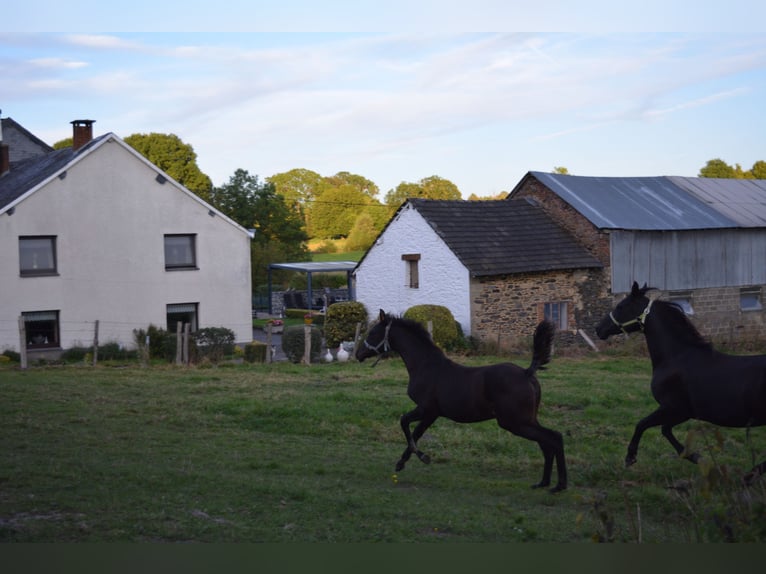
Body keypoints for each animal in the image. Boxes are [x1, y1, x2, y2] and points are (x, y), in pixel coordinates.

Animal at [356, 312, 568, 492]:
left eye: (373, 333)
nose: (358, 354)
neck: (426, 366)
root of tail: (526, 373)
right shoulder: (432, 414)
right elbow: (415, 432)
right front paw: (403, 462)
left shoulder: (427, 410)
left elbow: (405, 424)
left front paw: (422, 457)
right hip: (527, 420)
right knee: (547, 442)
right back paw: (544, 483)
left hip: (515, 422)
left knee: (553, 438)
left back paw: (559, 485)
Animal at [600, 282, 766, 482]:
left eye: (621, 307)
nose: (598, 328)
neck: (676, 357)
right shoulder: (681, 413)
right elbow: (664, 430)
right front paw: (695, 456)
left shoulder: (674, 408)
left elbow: (643, 424)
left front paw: (630, 457)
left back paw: (749, 476)